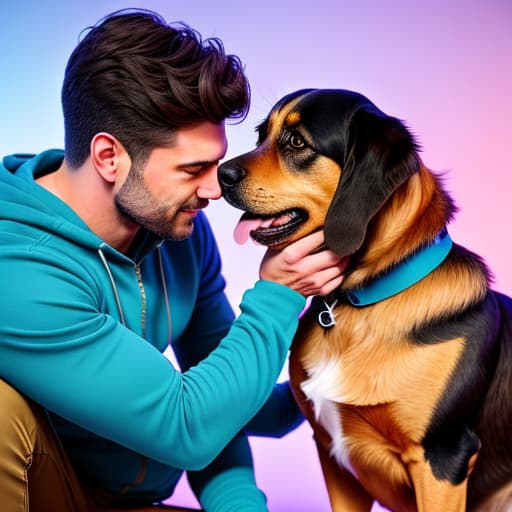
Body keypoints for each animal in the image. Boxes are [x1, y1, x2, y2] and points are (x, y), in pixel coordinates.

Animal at [218, 88, 512, 512]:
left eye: (296, 142)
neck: (358, 303)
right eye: (262, 135)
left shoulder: (443, 459)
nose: (219, 175)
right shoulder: (332, 455)